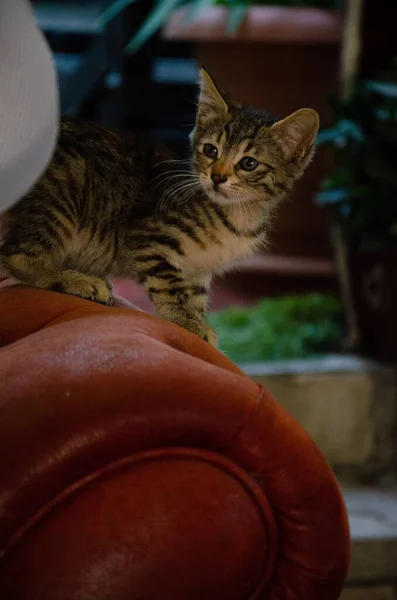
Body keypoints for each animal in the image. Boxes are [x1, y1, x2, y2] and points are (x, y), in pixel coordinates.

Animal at [0, 69, 318, 346]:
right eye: (210, 150)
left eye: (248, 163)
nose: (217, 177)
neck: (235, 216)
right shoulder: (147, 236)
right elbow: (169, 285)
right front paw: (189, 322)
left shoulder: (198, 272)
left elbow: (194, 297)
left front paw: (197, 323)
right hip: (64, 190)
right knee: (16, 255)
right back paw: (78, 280)